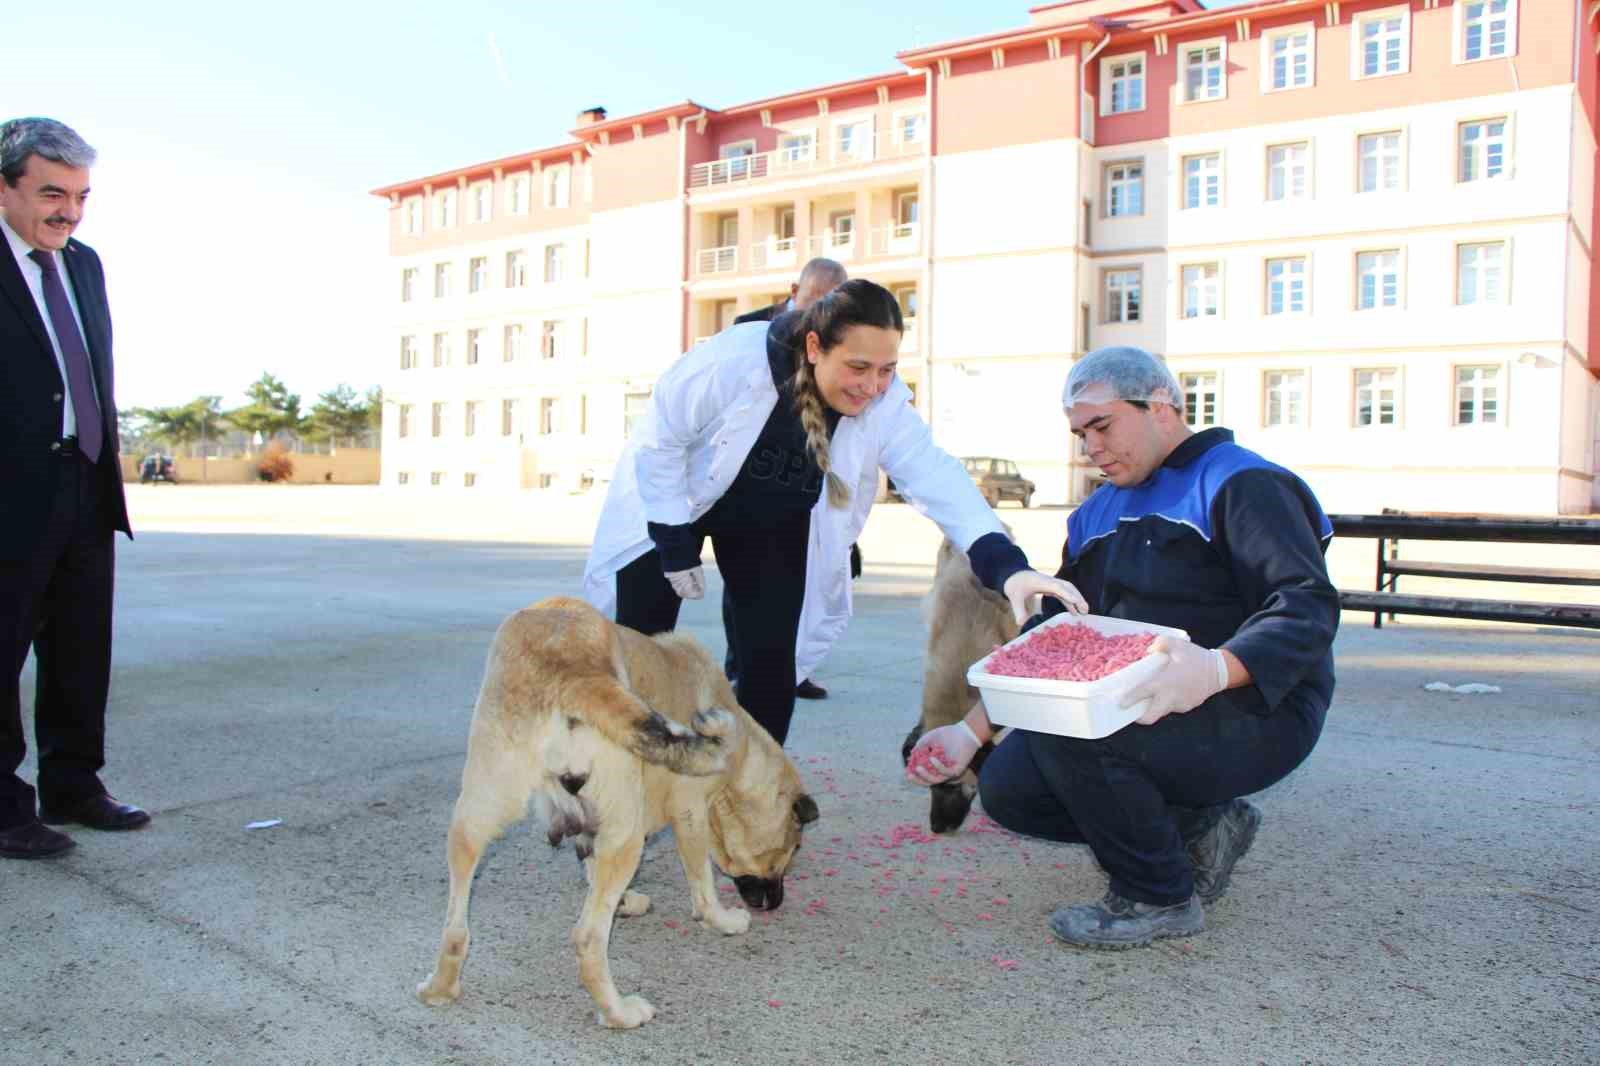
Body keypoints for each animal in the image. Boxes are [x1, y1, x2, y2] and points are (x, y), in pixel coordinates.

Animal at [416, 592, 812, 1024]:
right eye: (790, 852)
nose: (776, 902)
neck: (742, 757)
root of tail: (571, 670)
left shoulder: (590, 828)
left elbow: (591, 868)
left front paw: (624, 901)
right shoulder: (689, 815)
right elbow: (702, 884)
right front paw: (721, 920)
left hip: (472, 817)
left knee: (456, 926)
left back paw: (441, 988)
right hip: (627, 834)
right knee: (588, 938)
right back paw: (619, 1013)